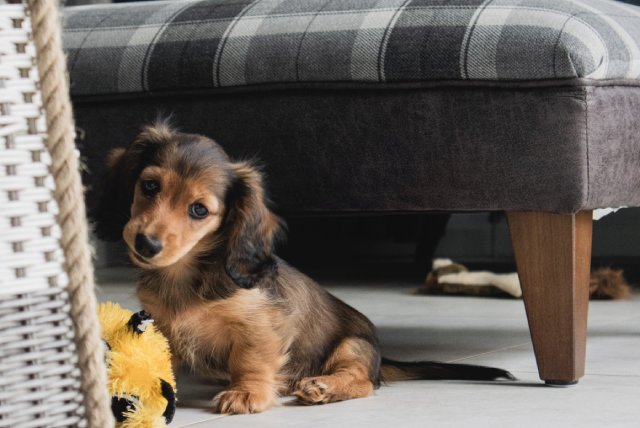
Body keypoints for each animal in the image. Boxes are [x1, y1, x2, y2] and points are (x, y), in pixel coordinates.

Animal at [96, 121, 516, 414]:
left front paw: (246, 392)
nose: (145, 244)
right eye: (150, 186)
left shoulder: (260, 323)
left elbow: (250, 359)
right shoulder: (164, 326)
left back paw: (324, 387)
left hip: (351, 346)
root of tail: (382, 359)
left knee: (364, 382)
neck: (187, 275)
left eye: (199, 210)